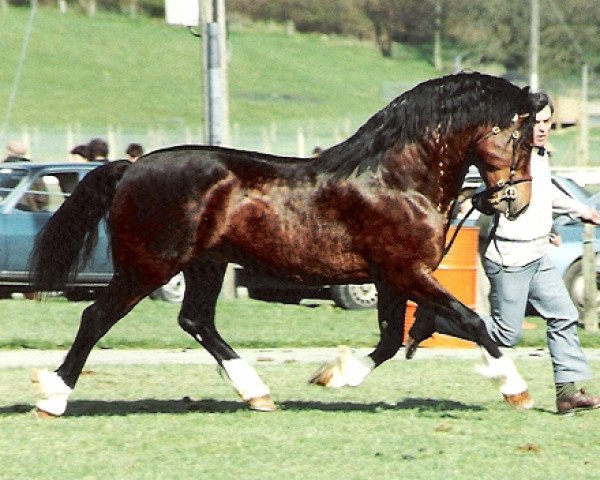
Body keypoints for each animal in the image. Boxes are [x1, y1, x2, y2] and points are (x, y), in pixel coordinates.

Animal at [28, 71, 536, 416]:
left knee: (196, 320)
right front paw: (516, 388)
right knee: (97, 318)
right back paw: (54, 398)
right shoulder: (406, 273)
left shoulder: (391, 278)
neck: (398, 180)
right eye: (523, 137)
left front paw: (337, 375)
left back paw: (257, 392)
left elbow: (392, 338)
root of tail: (130, 168)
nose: (518, 201)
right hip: (148, 266)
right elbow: (471, 321)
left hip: (206, 264)